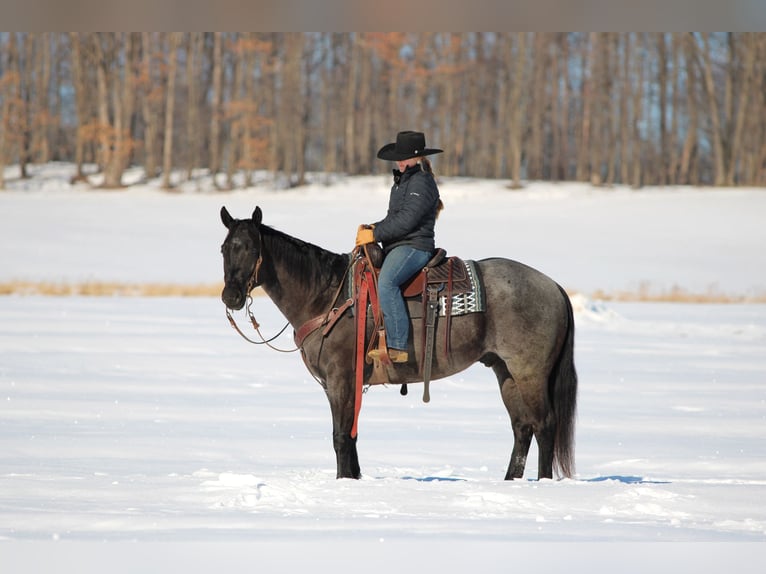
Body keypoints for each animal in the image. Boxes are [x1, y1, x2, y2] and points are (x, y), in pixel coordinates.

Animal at [219, 205, 578, 480]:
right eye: (224, 248)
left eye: (251, 248)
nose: (231, 297)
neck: (327, 295)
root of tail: (554, 286)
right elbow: (351, 436)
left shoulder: (340, 379)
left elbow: (340, 437)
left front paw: (343, 482)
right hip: (505, 371)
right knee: (522, 427)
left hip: (529, 372)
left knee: (545, 425)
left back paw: (543, 483)